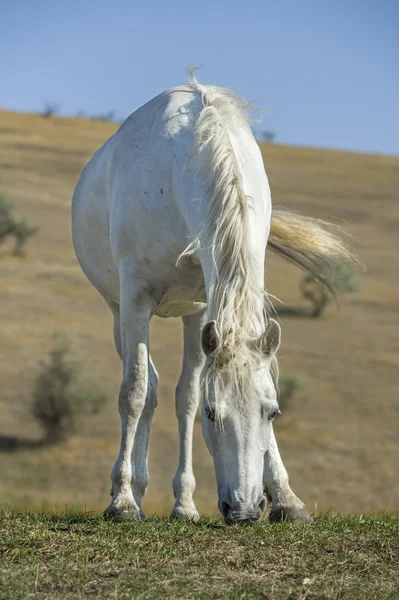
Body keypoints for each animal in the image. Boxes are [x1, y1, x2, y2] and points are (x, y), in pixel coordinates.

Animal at [72, 70, 356, 524]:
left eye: (272, 412)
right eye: (214, 414)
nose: (245, 508)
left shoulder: (208, 304)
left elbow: (191, 396)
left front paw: (286, 498)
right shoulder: (135, 298)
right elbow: (133, 391)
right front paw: (122, 501)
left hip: (192, 314)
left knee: (178, 393)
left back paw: (182, 503)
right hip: (119, 312)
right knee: (146, 388)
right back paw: (135, 489)